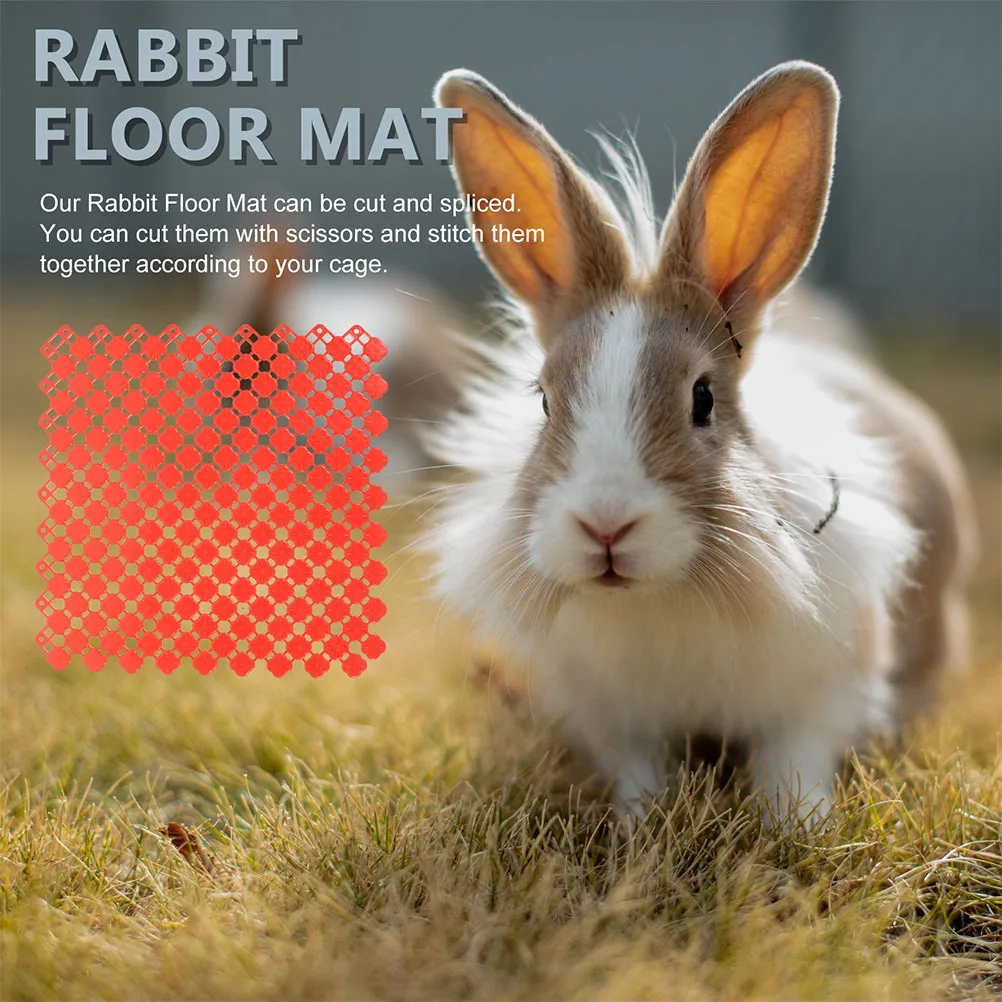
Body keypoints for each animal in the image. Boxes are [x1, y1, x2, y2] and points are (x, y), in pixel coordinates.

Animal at [423, 61, 978, 823]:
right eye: (543, 400)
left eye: (703, 399)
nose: (605, 525)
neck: (661, 596)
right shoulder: (615, 720)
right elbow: (638, 773)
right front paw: (640, 826)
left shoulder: (823, 696)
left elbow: (794, 760)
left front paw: (798, 826)